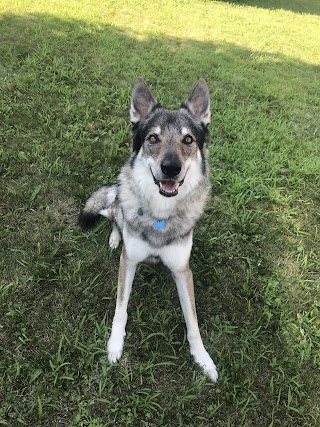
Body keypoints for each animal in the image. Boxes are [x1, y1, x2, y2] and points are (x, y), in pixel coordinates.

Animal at [78, 77, 218, 382]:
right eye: (153, 138)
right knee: (114, 213)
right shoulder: (128, 262)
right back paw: (115, 237)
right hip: (118, 204)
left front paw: (203, 359)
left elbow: (193, 322)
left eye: (188, 140)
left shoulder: (182, 271)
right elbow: (120, 309)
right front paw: (114, 345)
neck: (161, 214)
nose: (171, 168)